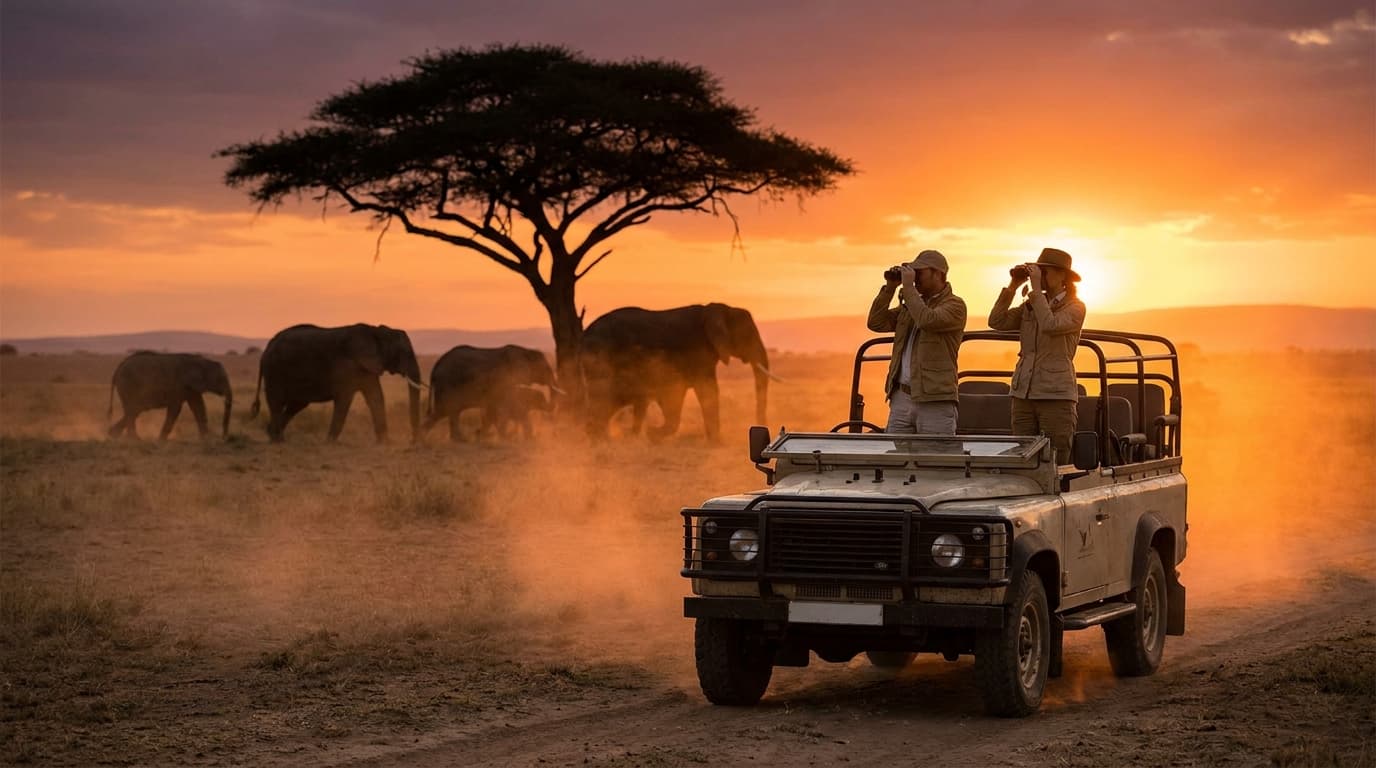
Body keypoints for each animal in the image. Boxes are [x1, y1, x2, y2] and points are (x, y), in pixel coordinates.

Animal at [249, 323, 423, 443]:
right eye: (405, 352)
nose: (412, 440)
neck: (376, 332)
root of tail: (267, 348)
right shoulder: (349, 366)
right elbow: (344, 400)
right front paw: (330, 442)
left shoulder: (367, 368)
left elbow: (376, 397)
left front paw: (385, 442)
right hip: (275, 372)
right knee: (277, 402)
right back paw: (277, 440)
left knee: (296, 405)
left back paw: (275, 436)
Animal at [423, 344, 556, 442]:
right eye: (546, 368)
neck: (525, 351)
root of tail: (436, 366)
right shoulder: (507, 379)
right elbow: (507, 406)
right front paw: (507, 437)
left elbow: (493, 409)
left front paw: (482, 435)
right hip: (447, 385)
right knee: (444, 411)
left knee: (450, 413)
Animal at [581, 303, 775, 441]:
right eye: (747, 335)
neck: (720, 309)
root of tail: (584, 334)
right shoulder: (695, 350)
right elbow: (706, 390)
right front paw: (653, 434)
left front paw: (652, 435)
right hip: (600, 360)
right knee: (603, 399)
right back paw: (601, 441)